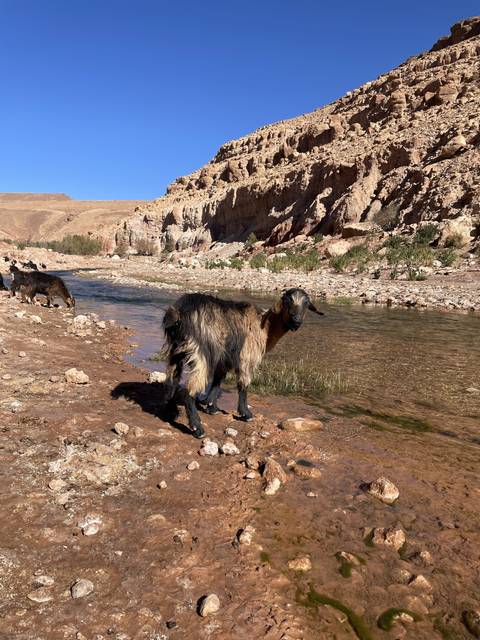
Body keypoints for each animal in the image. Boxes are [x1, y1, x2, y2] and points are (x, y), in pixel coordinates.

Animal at [161, 288, 324, 438]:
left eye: (306, 304)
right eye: (288, 301)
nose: (296, 320)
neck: (265, 326)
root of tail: (179, 313)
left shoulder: (224, 358)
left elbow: (218, 380)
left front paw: (212, 407)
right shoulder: (247, 356)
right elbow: (243, 385)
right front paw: (246, 413)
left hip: (176, 350)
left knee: (172, 381)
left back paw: (170, 411)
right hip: (202, 352)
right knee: (189, 391)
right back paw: (197, 428)